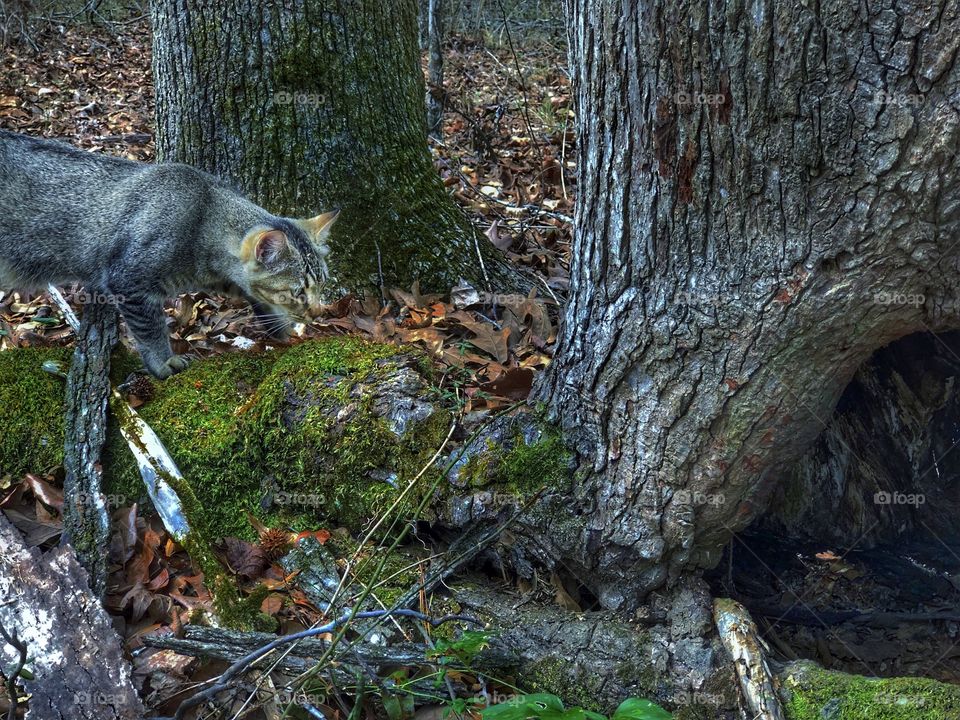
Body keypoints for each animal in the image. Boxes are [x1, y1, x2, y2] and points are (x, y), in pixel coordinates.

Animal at [0, 129, 338, 376]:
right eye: (298, 291)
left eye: (322, 285)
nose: (318, 312)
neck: (203, 215)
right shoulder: (129, 283)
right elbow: (150, 330)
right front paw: (162, 362)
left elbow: (257, 297)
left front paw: (281, 330)